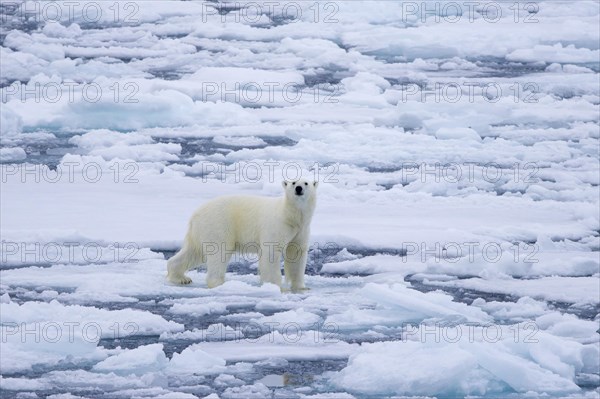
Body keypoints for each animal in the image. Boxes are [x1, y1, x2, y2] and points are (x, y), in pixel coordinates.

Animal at [168, 180, 318, 292]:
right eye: (293, 182)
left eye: (306, 182)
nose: (298, 188)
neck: (289, 215)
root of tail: (195, 214)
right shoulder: (276, 226)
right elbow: (271, 254)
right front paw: (276, 286)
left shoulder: (301, 230)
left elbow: (296, 254)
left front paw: (302, 287)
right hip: (219, 224)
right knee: (219, 253)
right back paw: (218, 283)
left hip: (202, 230)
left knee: (194, 252)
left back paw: (181, 278)